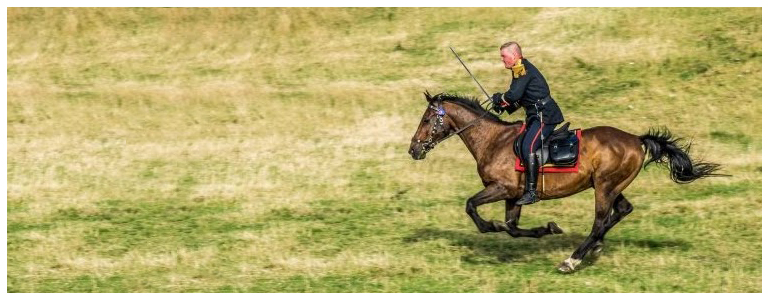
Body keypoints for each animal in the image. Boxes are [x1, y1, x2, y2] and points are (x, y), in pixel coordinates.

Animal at [404, 92, 724, 274]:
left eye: (427, 119)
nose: (413, 150)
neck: (492, 140)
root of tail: (637, 139)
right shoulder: (513, 196)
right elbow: (512, 227)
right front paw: (546, 229)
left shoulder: (502, 189)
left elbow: (472, 206)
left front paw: (490, 226)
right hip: (610, 186)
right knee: (622, 211)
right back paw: (594, 247)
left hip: (605, 187)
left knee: (600, 220)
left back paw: (572, 260)